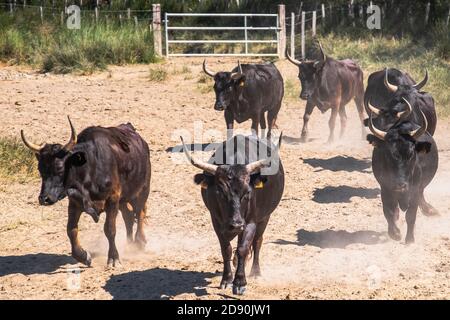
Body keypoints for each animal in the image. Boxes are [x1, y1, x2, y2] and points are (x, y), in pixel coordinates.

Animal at [21, 118, 151, 268]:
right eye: (40, 169)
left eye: (59, 168)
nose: (44, 198)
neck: (89, 167)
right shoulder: (75, 203)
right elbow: (71, 230)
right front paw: (83, 256)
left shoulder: (112, 198)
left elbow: (110, 229)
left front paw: (114, 258)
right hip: (124, 199)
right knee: (129, 216)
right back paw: (130, 245)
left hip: (141, 191)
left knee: (140, 213)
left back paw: (139, 242)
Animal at [180, 135, 284, 296]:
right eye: (220, 193)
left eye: (247, 192)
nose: (236, 224)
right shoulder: (216, 222)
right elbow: (226, 249)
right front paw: (227, 279)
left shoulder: (250, 222)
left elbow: (243, 249)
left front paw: (240, 283)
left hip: (264, 218)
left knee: (257, 242)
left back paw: (255, 272)